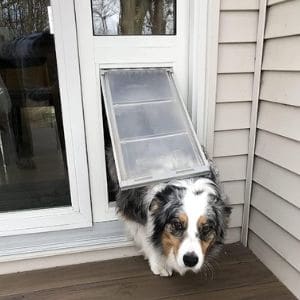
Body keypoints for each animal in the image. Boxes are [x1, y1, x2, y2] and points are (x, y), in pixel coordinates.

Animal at [106, 146, 231, 276]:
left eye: (206, 228)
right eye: (177, 224)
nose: (190, 260)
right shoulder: (133, 213)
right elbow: (147, 239)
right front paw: (159, 264)